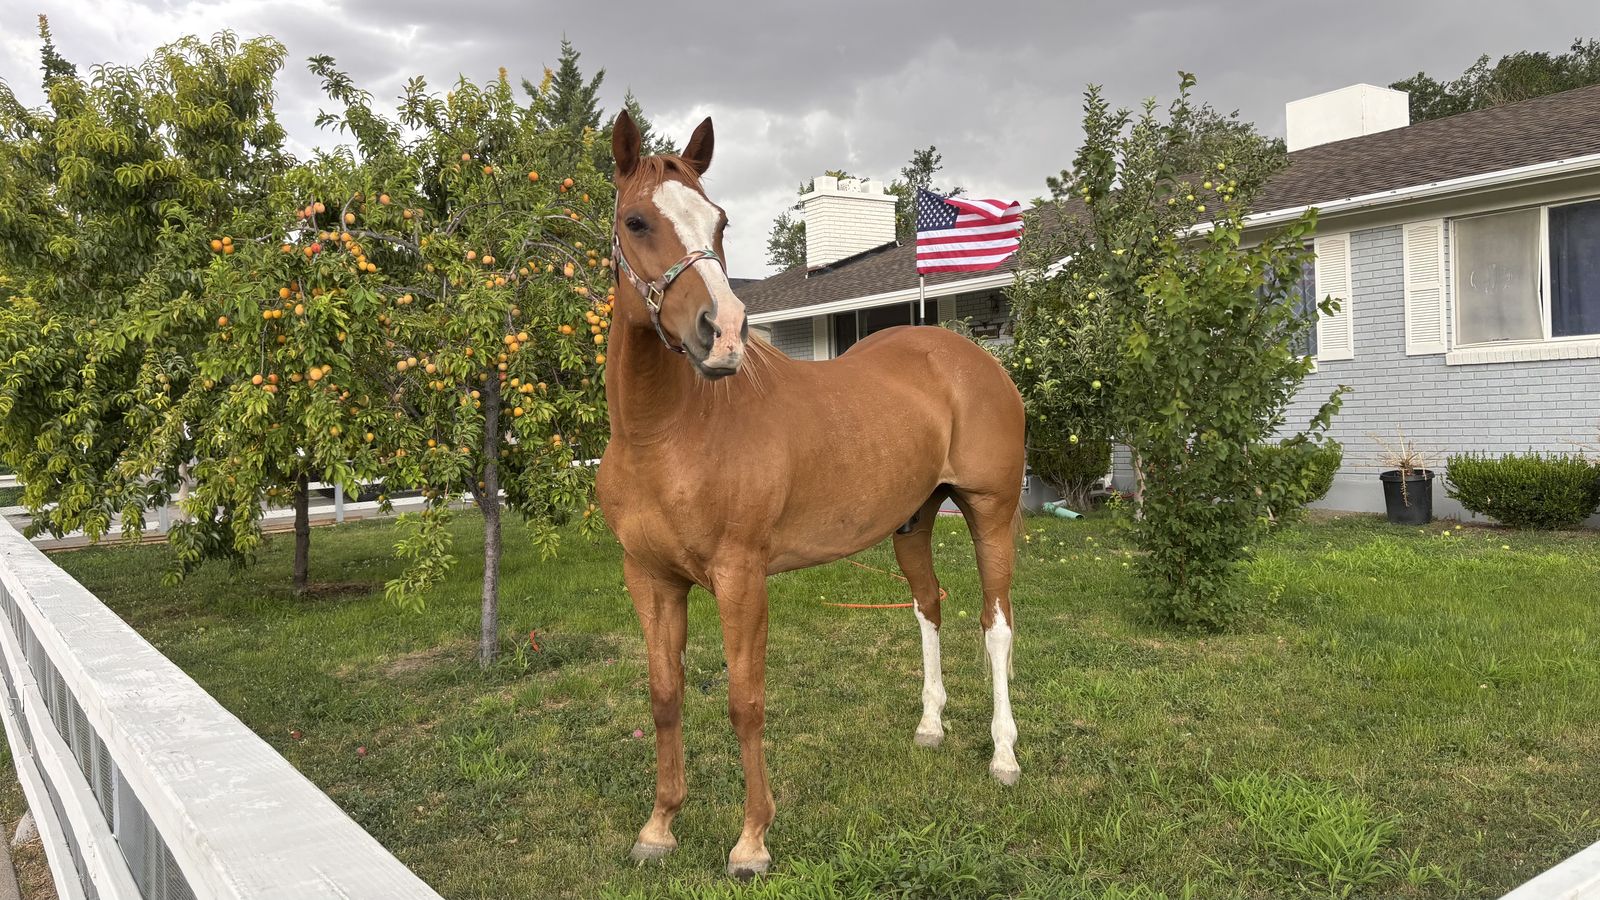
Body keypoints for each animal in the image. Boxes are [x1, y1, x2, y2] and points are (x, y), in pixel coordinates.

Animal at [596, 110, 1026, 878]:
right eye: (637, 220)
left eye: (719, 220)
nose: (723, 333)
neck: (667, 434)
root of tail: (970, 356)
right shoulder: (650, 579)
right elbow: (665, 696)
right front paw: (659, 827)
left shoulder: (741, 578)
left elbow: (745, 700)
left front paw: (752, 841)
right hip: (912, 523)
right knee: (929, 606)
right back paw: (930, 725)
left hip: (991, 513)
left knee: (995, 624)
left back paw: (1004, 756)